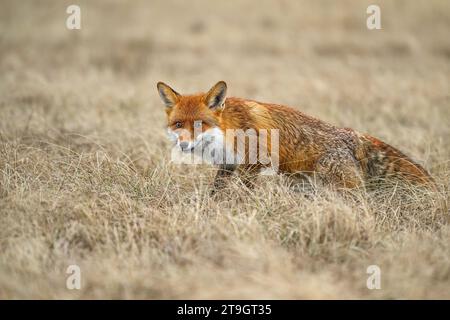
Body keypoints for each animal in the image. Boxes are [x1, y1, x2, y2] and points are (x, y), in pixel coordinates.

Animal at [158, 81, 436, 192]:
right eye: (178, 124)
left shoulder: (253, 164)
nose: (184, 145)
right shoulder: (228, 166)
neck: (228, 131)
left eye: (201, 124)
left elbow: (244, 192)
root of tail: (353, 133)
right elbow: (216, 191)